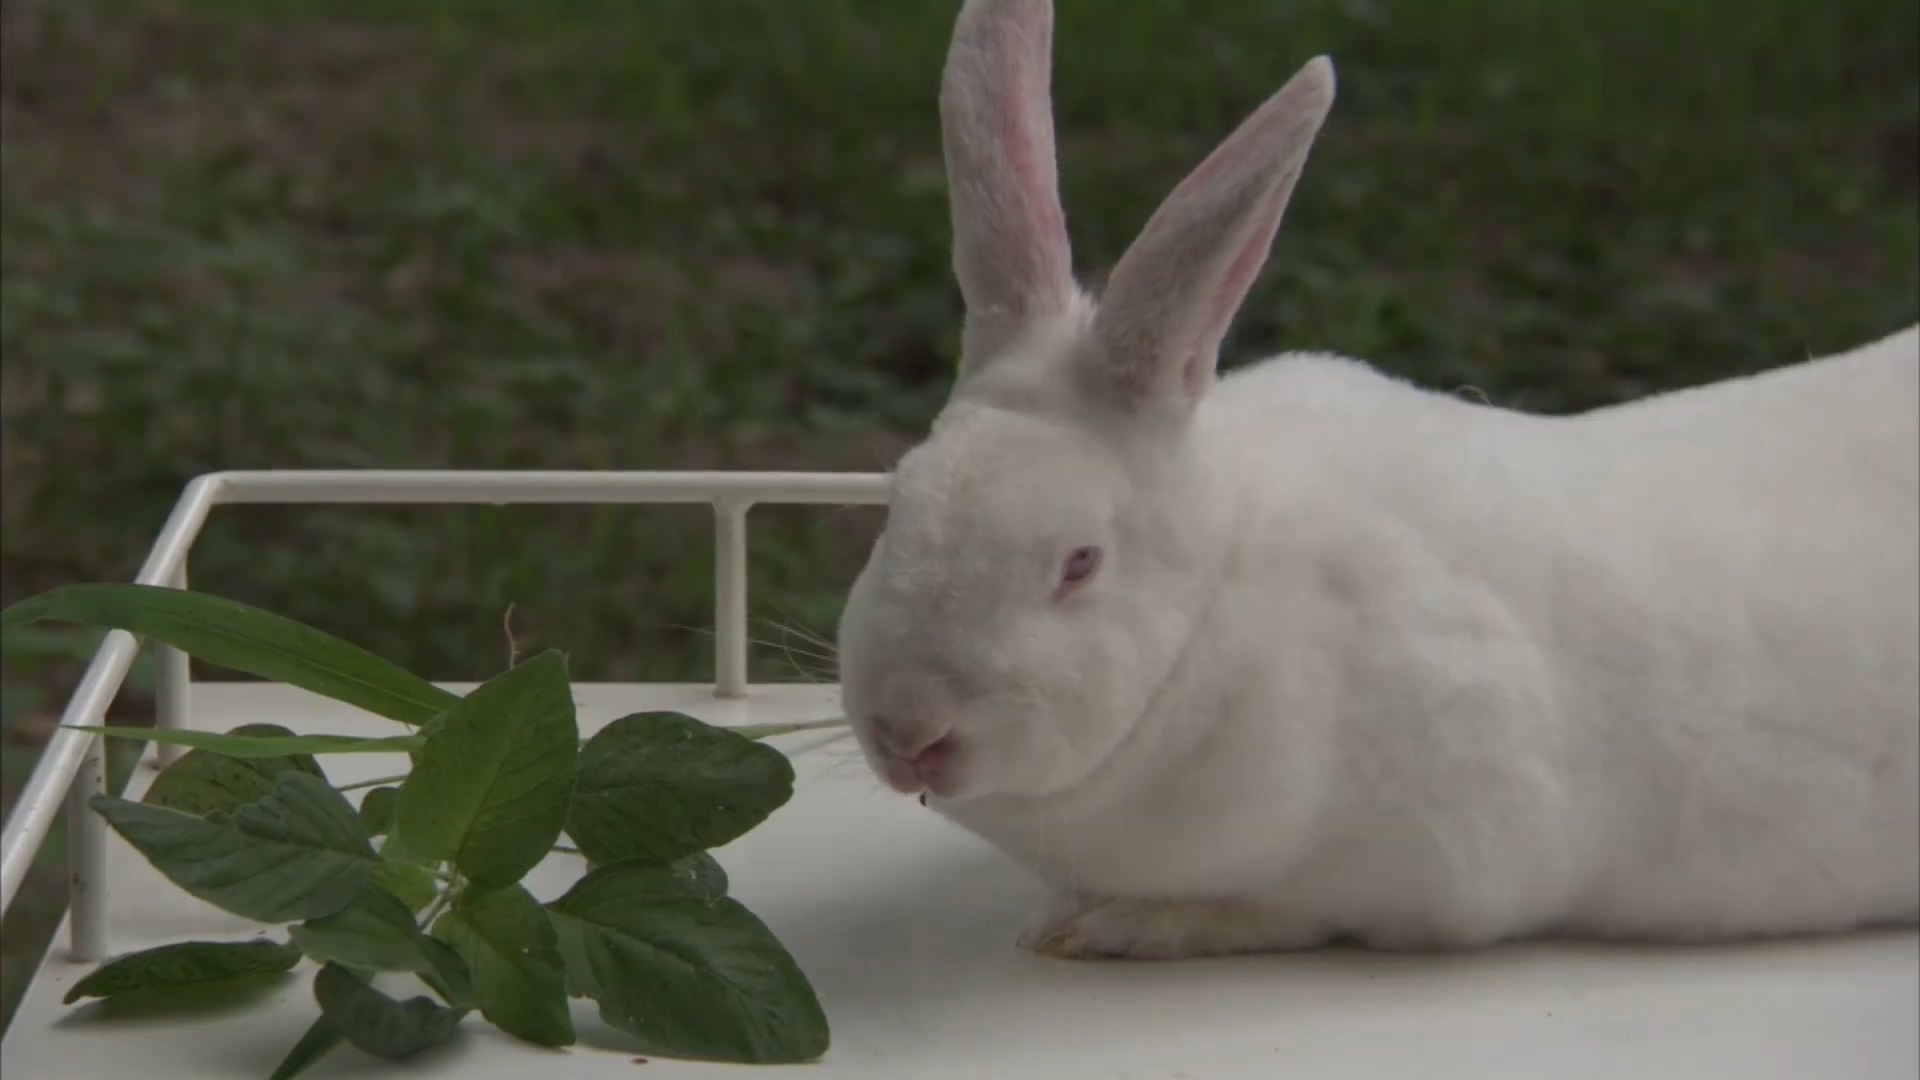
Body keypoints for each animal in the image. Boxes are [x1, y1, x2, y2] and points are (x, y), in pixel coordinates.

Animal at [840, 0, 1920, 957]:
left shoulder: (1430, 869)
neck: (1219, 601)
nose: (908, 732)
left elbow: (1274, 909)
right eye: (896, 504)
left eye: (1078, 564)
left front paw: (1110, 925)